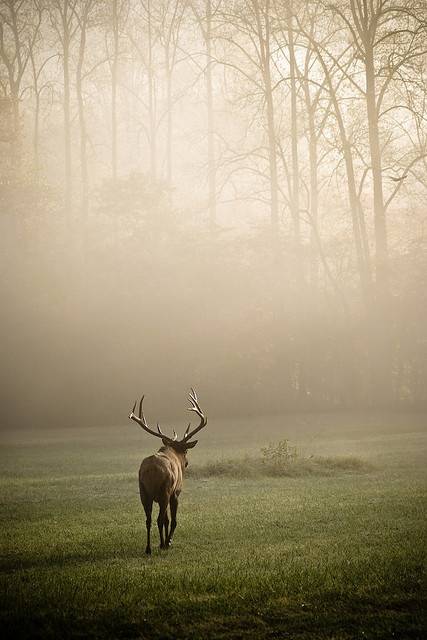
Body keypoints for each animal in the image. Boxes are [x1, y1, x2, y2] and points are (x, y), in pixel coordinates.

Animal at [127, 388, 207, 552]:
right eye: (186, 451)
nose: (187, 463)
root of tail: (151, 470)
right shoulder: (176, 492)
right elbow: (172, 520)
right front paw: (168, 541)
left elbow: (166, 519)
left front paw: (162, 541)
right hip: (165, 490)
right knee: (159, 519)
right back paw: (163, 545)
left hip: (143, 491)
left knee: (148, 519)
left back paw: (148, 548)